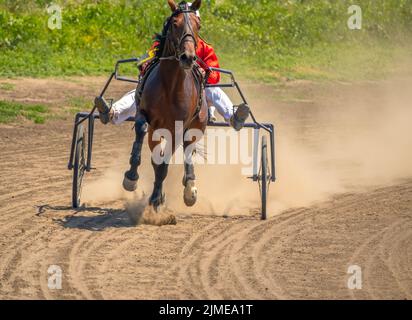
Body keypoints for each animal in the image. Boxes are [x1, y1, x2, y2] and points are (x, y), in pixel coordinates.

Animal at [121, 0, 206, 211]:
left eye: (198, 25)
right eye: (175, 23)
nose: (188, 57)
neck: (170, 86)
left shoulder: (178, 128)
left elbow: (165, 163)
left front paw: (156, 198)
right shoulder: (144, 114)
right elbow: (141, 130)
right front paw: (131, 176)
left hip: (197, 125)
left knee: (187, 150)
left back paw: (189, 188)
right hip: (157, 130)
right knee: (156, 155)